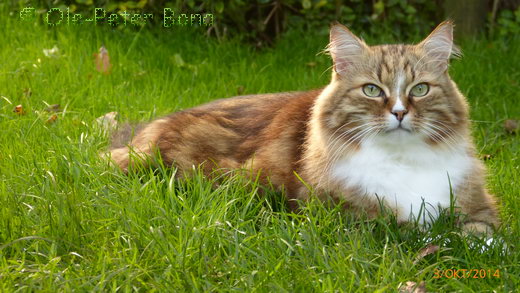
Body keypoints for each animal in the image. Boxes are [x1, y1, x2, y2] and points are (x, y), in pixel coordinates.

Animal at [108, 21, 500, 233]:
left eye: (420, 89)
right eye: (372, 90)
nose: (400, 112)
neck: (402, 161)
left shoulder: (479, 205)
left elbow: (482, 234)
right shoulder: (343, 213)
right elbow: (414, 230)